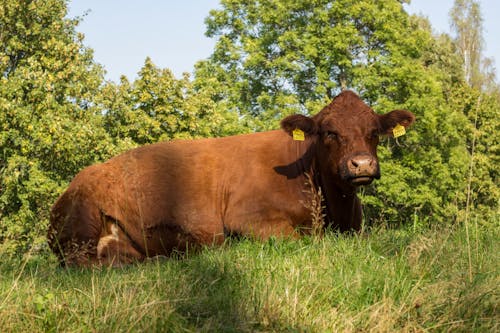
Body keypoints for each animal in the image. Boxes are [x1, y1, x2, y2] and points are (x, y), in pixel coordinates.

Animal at [47, 89, 414, 266]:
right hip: (80, 225)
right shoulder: (248, 218)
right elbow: (302, 240)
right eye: (329, 132)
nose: (361, 164)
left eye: (374, 131)